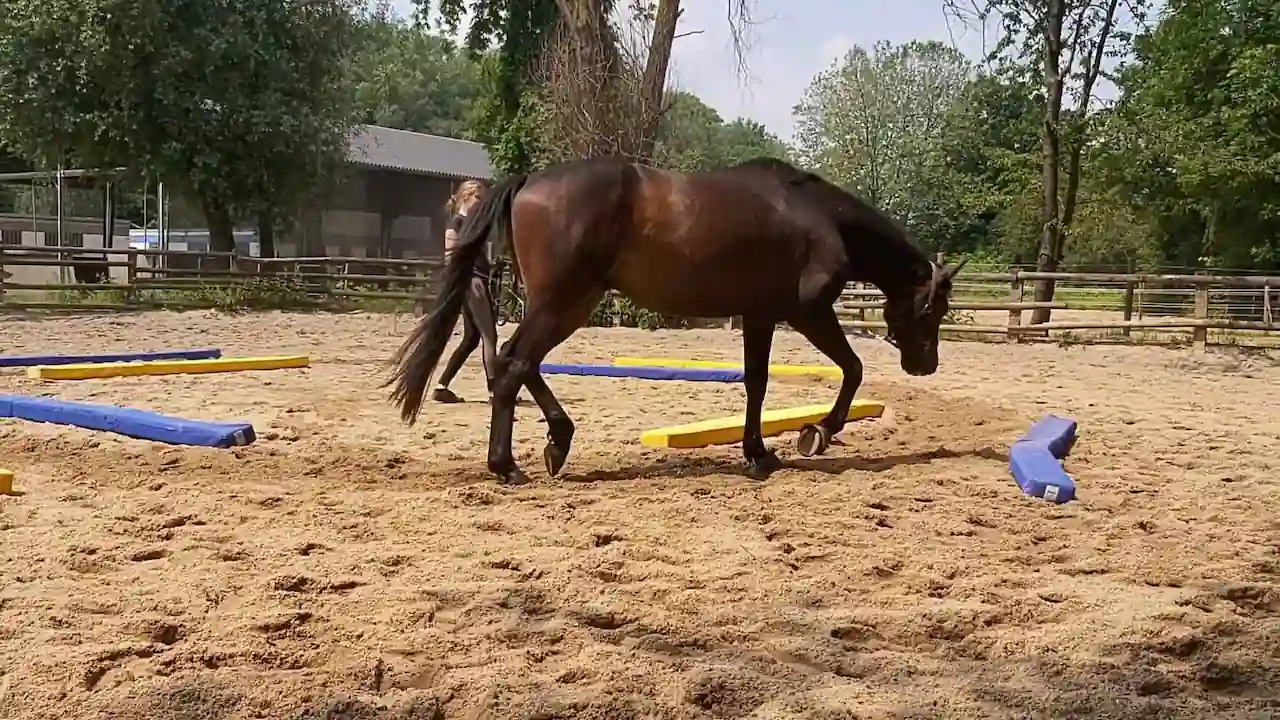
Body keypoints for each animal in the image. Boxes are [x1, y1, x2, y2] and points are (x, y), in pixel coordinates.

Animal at [386, 155, 965, 486]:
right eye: (934, 308)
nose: (926, 366)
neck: (820, 218)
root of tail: (530, 183)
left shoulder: (759, 315)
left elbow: (756, 383)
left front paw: (758, 454)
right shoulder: (806, 312)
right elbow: (853, 369)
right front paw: (816, 432)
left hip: (569, 302)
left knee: (518, 362)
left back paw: (558, 440)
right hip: (564, 302)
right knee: (511, 363)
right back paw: (508, 464)